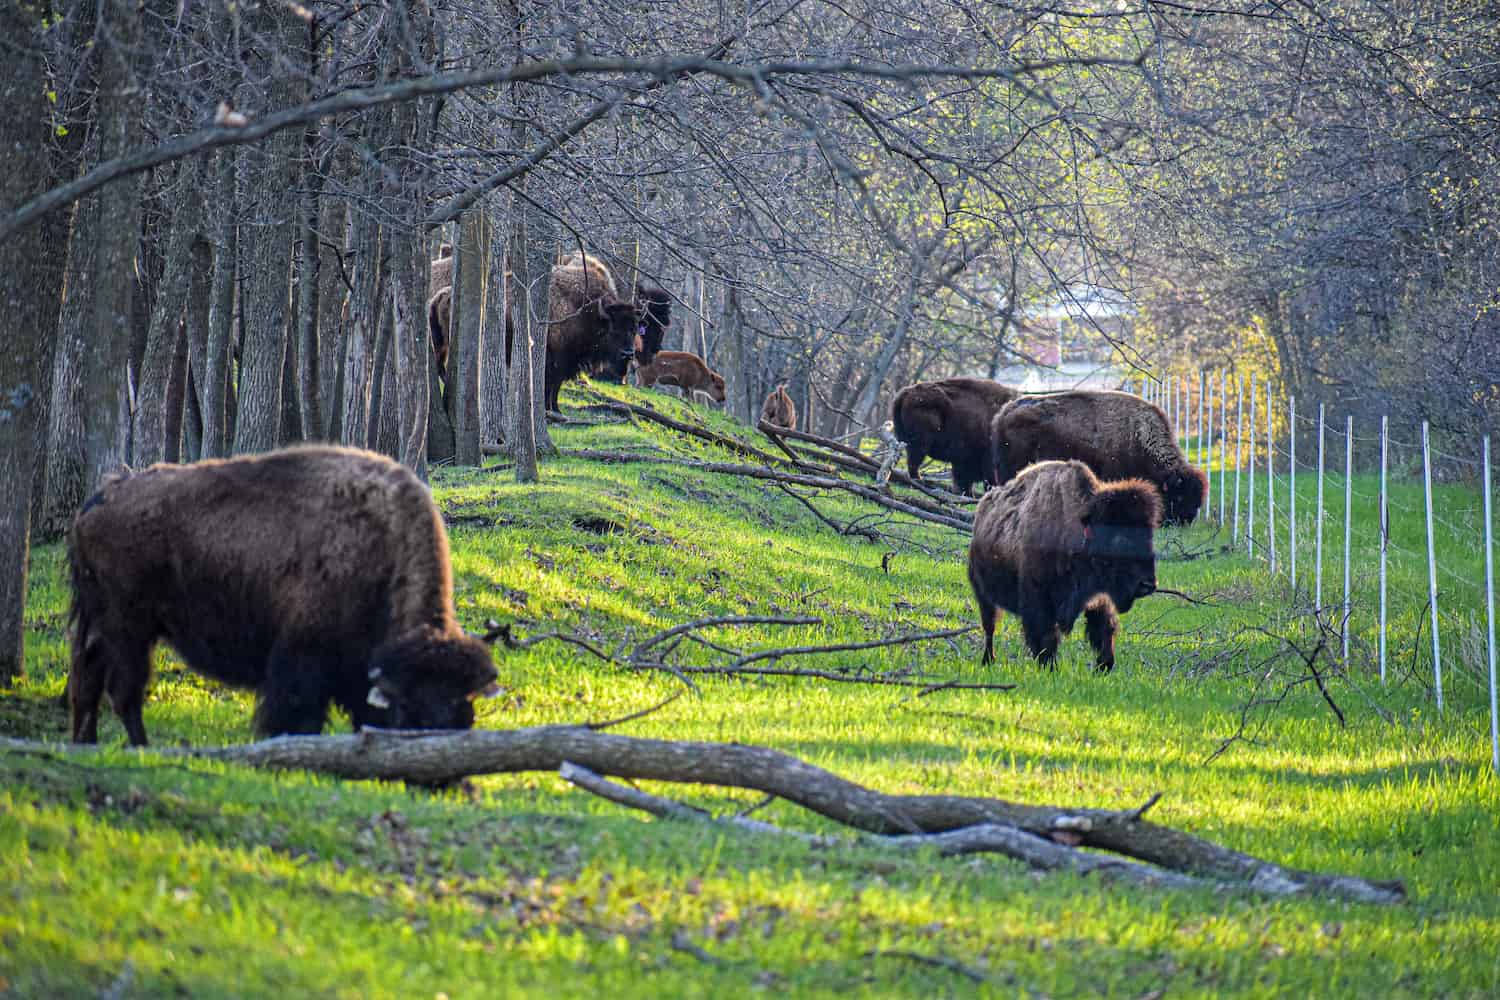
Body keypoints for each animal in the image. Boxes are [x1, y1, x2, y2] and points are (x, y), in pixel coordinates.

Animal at [66, 446, 504, 743]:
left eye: (466, 717)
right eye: (410, 713)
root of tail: (101, 498)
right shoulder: (301, 659)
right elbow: (294, 715)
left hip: (101, 623)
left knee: (86, 682)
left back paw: (87, 745)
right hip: (129, 628)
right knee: (124, 692)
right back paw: (140, 747)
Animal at [546, 251, 639, 413]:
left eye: (634, 330)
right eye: (613, 330)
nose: (627, 354)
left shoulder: (568, 361)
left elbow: (555, 385)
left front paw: (555, 409)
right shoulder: (557, 358)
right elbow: (551, 384)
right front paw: (550, 409)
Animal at [966, 461, 1164, 671]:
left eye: (1150, 536)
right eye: (1119, 538)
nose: (1148, 585)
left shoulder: (1099, 598)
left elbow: (1104, 629)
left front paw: (1104, 666)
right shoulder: (1038, 599)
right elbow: (1046, 636)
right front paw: (1049, 667)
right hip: (983, 595)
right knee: (990, 628)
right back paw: (988, 660)